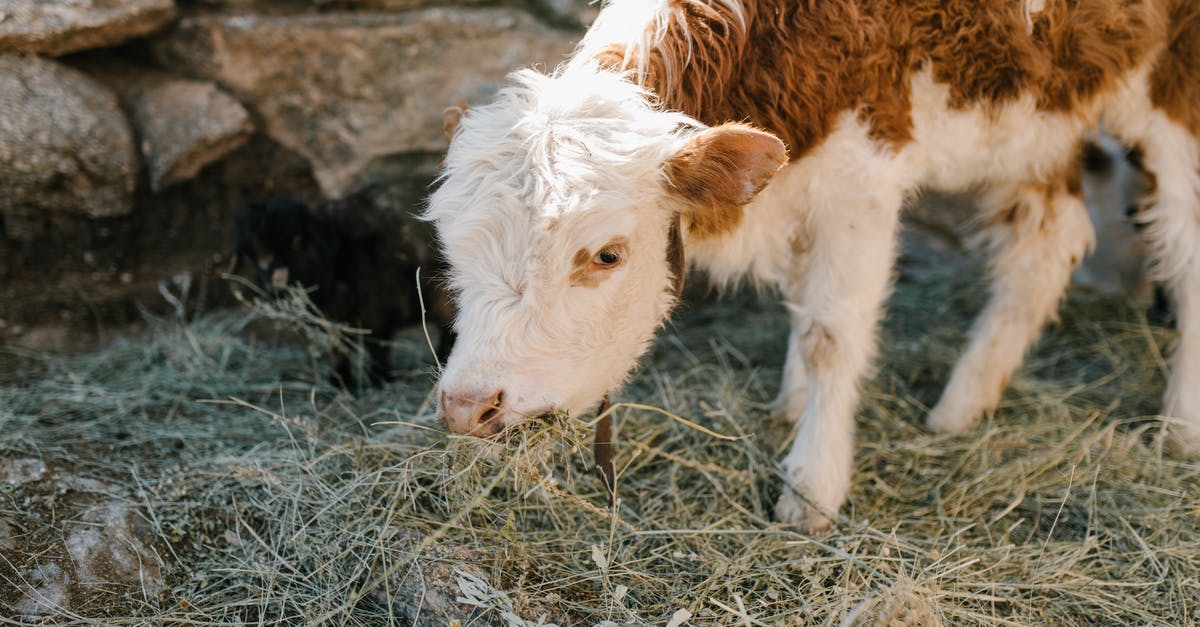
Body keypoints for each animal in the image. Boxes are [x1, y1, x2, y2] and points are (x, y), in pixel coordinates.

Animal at [425, 0, 1200, 531]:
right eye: (453, 253)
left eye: (607, 254)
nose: (467, 406)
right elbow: (801, 304)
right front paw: (792, 402)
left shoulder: (862, 177)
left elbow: (832, 333)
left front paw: (811, 486)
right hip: (1043, 110)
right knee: (1051, 240)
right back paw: (960, 406)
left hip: (1173, 88)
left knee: (1186, 248)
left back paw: (1180, 426)